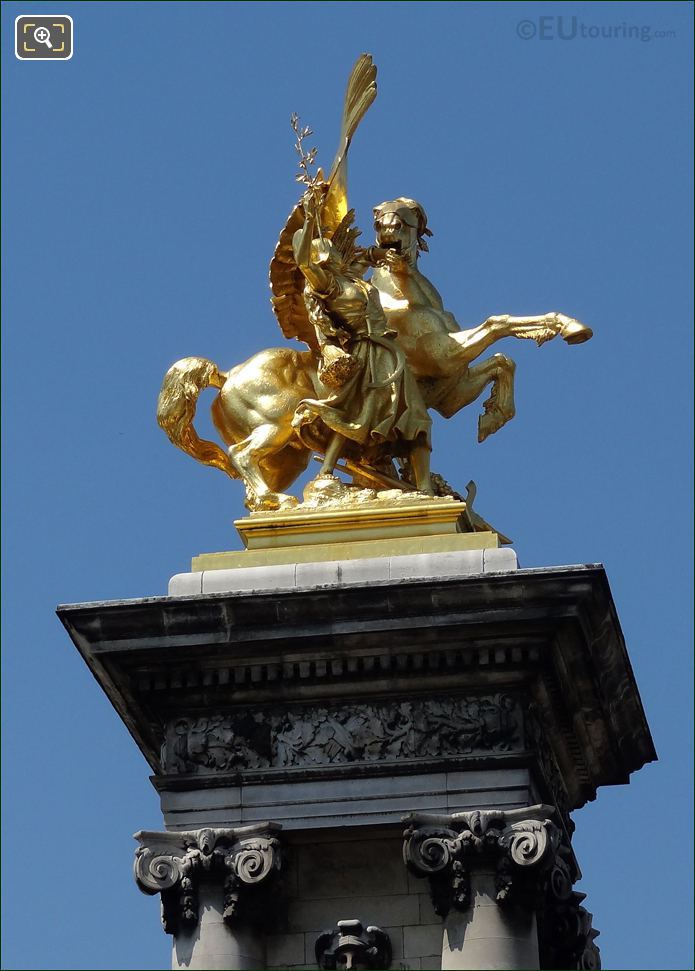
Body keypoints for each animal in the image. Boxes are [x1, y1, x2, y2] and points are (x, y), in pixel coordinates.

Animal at [158, 56, 592, 512]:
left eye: (402, 217)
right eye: (382, 218)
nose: (385, 229)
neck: (406, 293)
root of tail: (226, 375)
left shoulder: (450, 389)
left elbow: (502, 361)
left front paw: (493, 415)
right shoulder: (445, 355)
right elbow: (500, 323)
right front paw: (568, 328)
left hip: (289, 452)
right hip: (277, 426)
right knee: (243, 455)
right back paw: (292, 499)